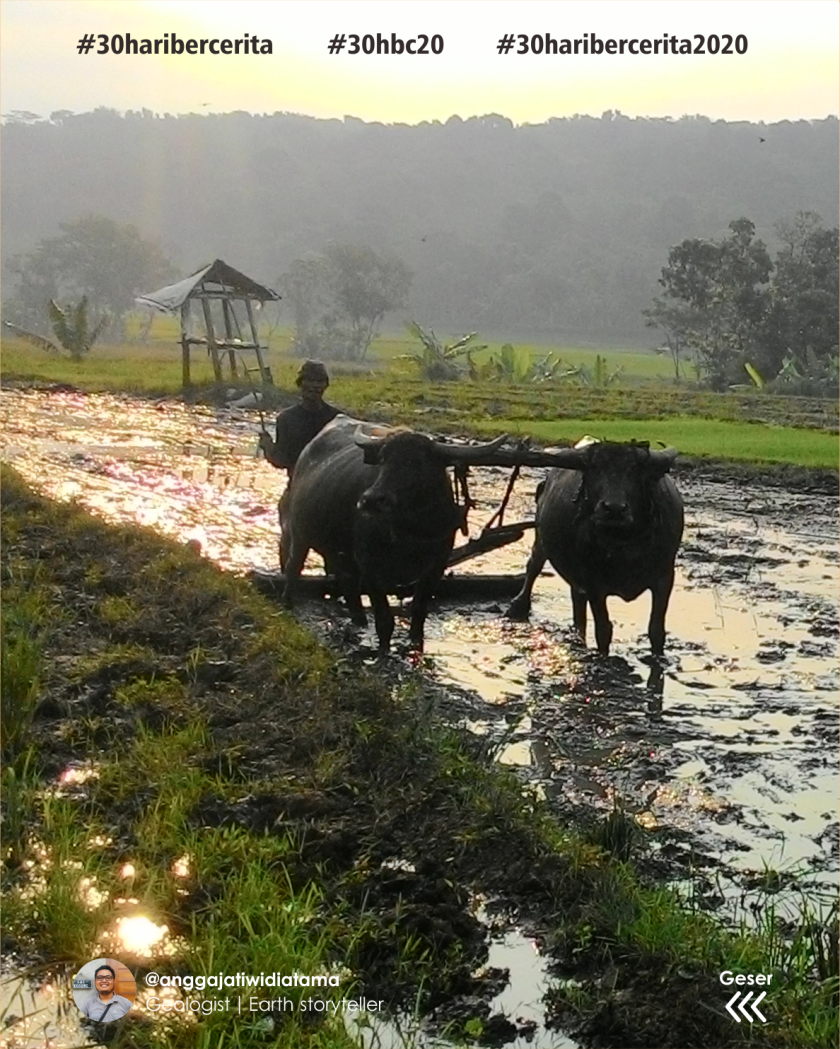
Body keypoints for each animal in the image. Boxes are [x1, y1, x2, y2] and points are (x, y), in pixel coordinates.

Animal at [281, 415, 505, 646]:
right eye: (383, 459)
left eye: (419, 462)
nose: (371, 499)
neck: (410, 532)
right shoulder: (370, 567)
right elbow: (384, 620)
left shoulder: (436, 567)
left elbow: (419, 612)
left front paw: (415, 642)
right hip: (299, 535)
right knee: (293, 567)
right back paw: (288, 603)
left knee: (348, 585)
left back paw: (359, 621)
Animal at [505, 440, 679, 654]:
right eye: (595, 469)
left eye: (634, 470)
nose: (614, 509)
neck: (624, 542)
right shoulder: (594, 583)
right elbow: (603, 630)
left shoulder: (665, 577)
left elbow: (656, 630)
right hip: (541, 539)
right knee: (534, 566)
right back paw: (518, 606)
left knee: (577, 605)